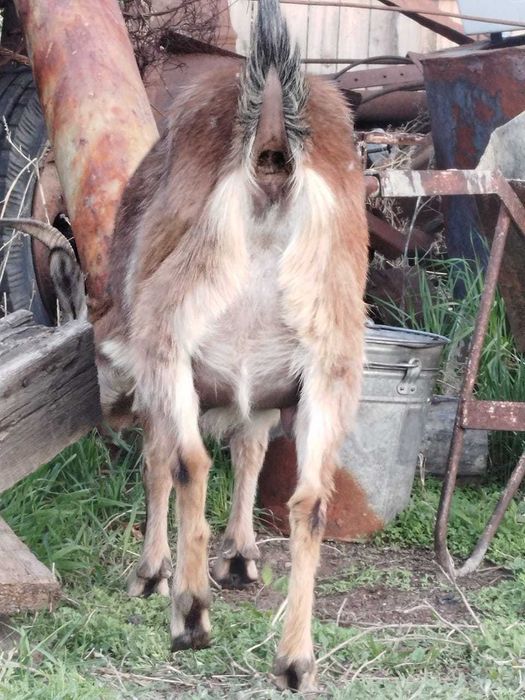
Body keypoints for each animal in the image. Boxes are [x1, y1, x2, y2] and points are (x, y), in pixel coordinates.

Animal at [7, 0, 368, 690]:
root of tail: (271, 157)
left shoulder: (156, 375)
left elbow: (158, 463)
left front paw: (152, 573)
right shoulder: (264, 396)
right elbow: (252, 453)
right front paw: (242, 559)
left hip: (175, 336)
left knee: (187, 462)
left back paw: (190, 614)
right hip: (332, 363)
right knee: (309, 500)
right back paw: (294, 660)